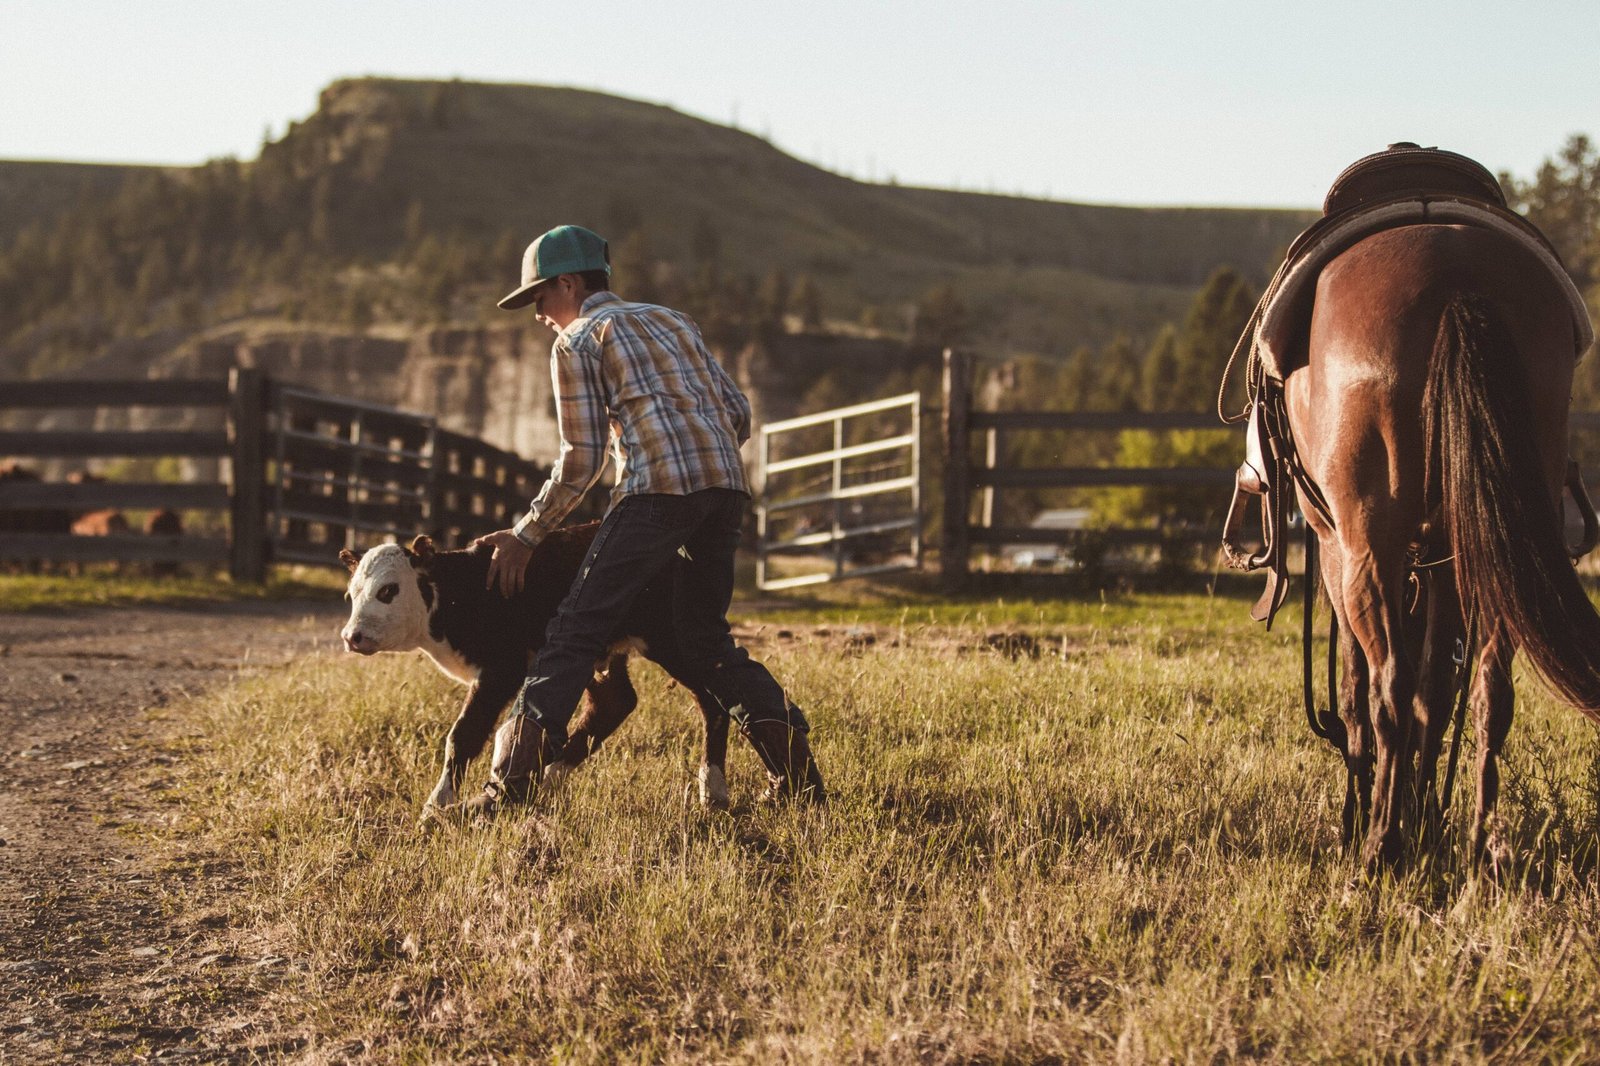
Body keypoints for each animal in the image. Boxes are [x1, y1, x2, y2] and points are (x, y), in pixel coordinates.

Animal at [1286, 222, 1600, 864]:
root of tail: (1455, 274)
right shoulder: (1442, 563)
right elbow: (1437, 691)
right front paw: (1424, 817)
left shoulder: (1335, 550)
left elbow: (1357, 686)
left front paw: (1367, 816)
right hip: (1496, 540)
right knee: (1488, 691)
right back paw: (1476, 842)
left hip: (1370, 544)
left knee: (1391, 684)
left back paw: (1380, 845)